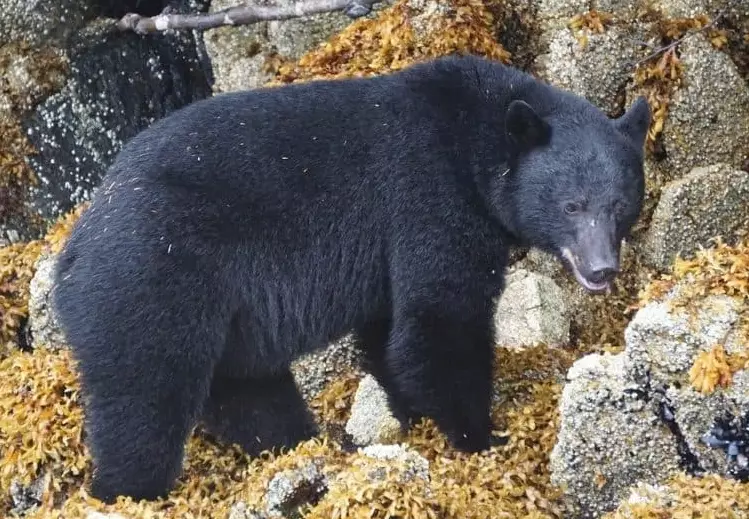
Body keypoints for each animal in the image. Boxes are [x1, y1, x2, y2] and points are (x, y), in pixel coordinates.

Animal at [51, 53, 650, 503]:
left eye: (620, 205)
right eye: (573, 206)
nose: (602, 268)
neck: (472, 137)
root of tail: (72, 252)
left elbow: (389, 336)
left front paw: (414, 420)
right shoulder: (429, 196)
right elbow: (439, 318)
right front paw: (482, 435)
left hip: (221, 319)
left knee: (249, 390)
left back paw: (306, 448)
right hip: (149, 281)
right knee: (144, 402)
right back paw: (127, 490)